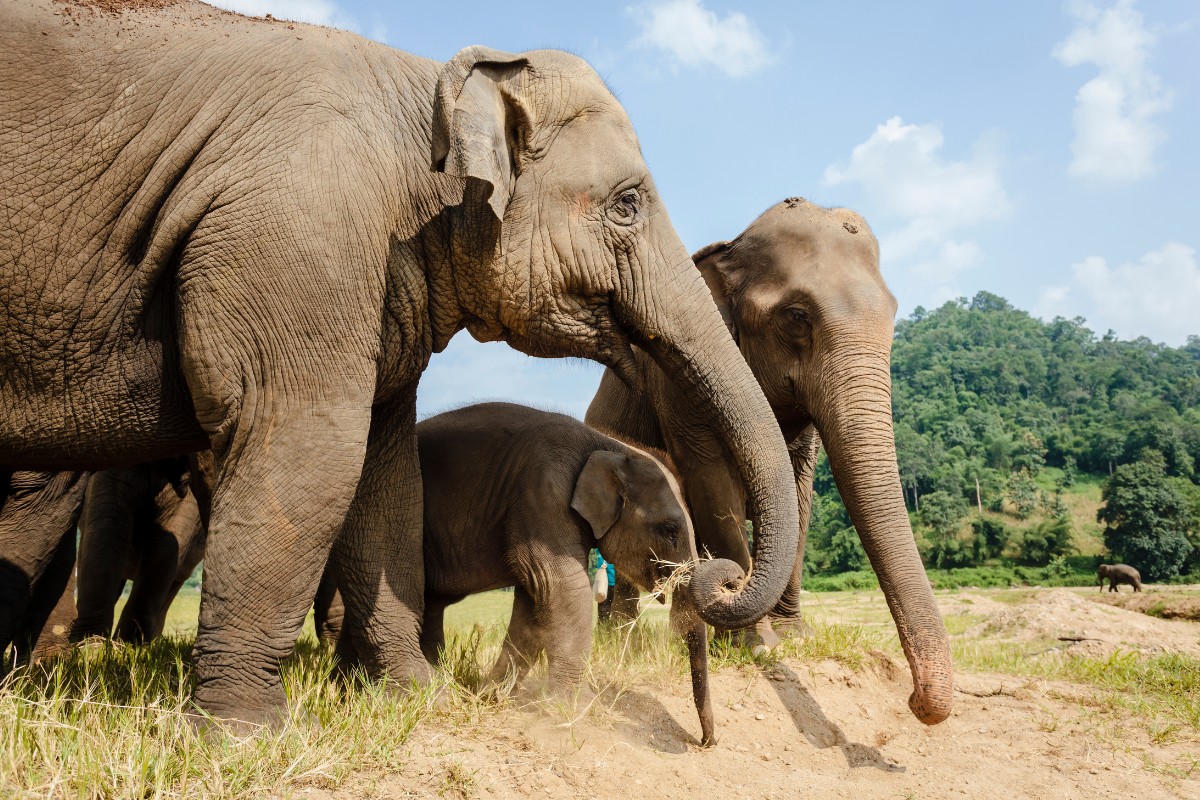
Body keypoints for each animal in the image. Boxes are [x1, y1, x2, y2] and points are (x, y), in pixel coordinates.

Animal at [585, 199, 950, 724]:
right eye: (796, 315)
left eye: (895, 312)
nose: (916, 701)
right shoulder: (676, 386)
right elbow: (711, 480)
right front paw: (754, 645)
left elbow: (800, 494)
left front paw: (794, 637)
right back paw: (622, 646)